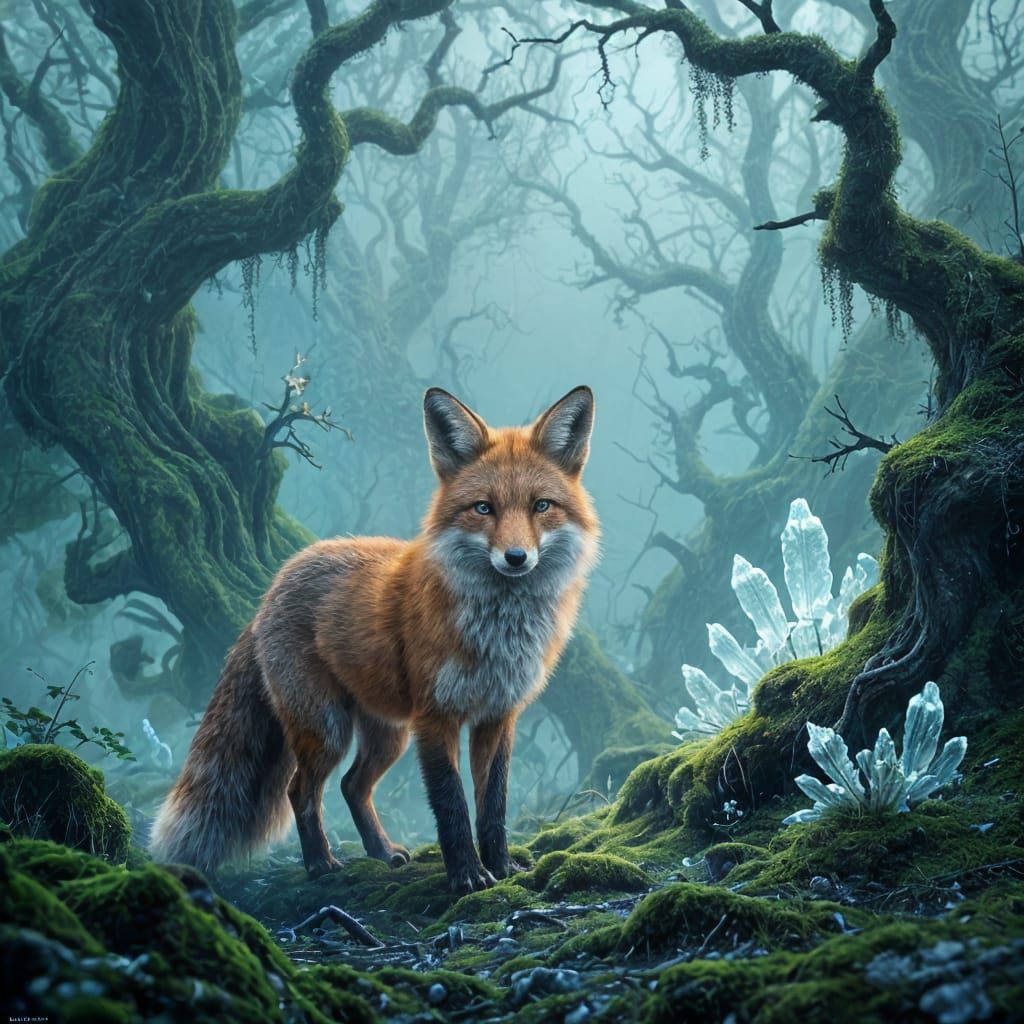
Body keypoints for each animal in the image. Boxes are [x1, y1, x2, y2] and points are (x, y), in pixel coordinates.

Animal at [150, 385, 599, 894]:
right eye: (484, 508)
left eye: (541, 505)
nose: (516, 557)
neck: (498, 633)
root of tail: (273, 585)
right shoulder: (435, 717)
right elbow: (451, 803)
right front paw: (466, 875)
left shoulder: (498, 717)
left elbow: (493, 805)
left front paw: (501, 869)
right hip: (327, 728)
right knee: (299, 789)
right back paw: (320, 862)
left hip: (387, 735)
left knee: (352, 786)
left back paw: (382, 852)